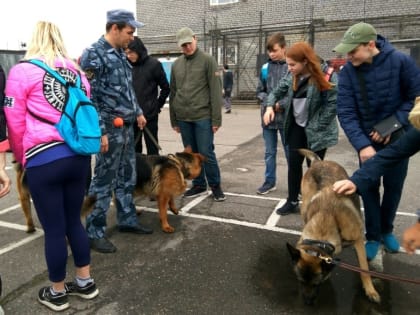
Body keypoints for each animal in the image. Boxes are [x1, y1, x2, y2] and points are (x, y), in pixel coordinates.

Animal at [286, 150, 380, 306]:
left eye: (316, 284)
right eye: (300, 281)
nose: (307, 302)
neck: (326, 220)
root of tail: (319, 161)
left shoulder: (358, 240)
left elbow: (364, 269)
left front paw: (370, 290)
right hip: (304, 206)